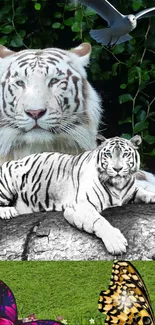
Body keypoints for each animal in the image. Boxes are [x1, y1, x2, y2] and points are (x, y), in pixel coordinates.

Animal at [0, 134, 155, 253]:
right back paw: (8, 211)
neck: (118, 187)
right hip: (11, 175)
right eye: (108, 154)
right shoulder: (81, 206)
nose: (117, 169)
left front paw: (151, 196)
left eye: (125, 154)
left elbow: (142, 192)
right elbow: (99, 221)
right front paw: (116, 243)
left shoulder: (130, 191)